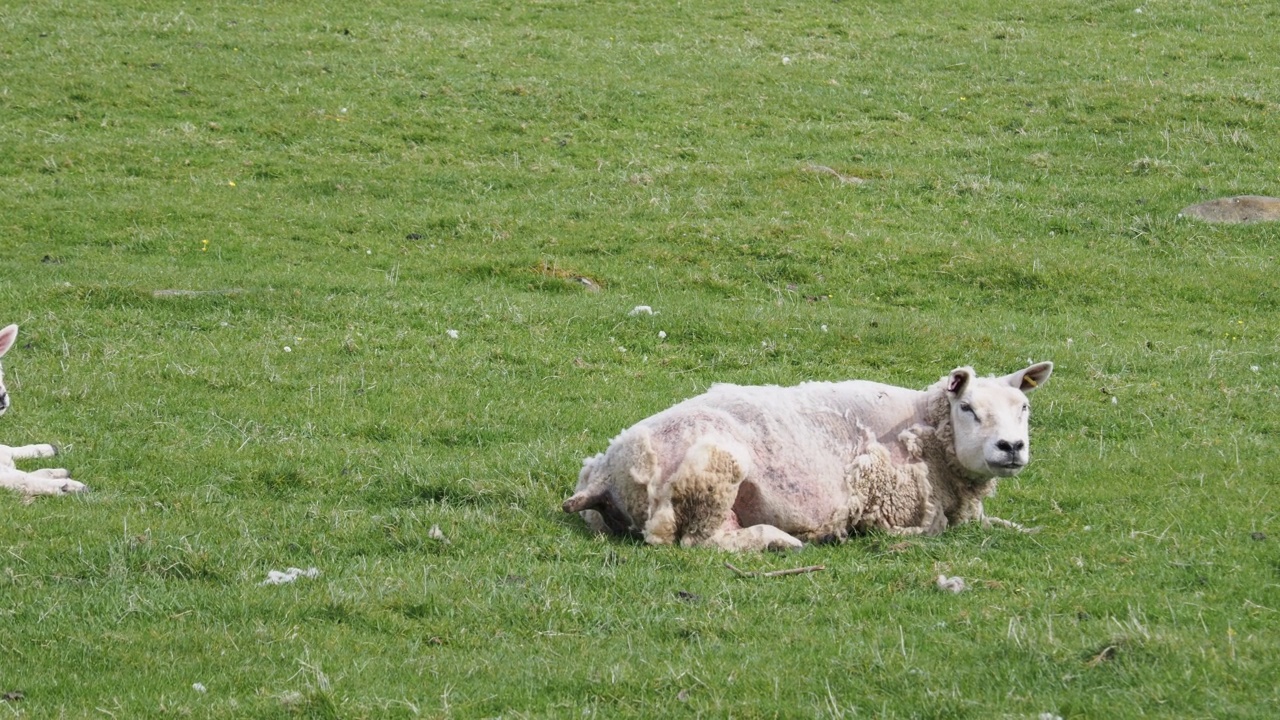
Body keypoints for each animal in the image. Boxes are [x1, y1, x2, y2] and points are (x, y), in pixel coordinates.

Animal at [565, 358, 1054, 548]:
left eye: (1024, 408)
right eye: (968, 408)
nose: (1011, 447)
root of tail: (605, 470)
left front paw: (1031, 531)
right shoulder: (891, 512)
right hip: (712, 477)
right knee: (703, 542)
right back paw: (780, 540)